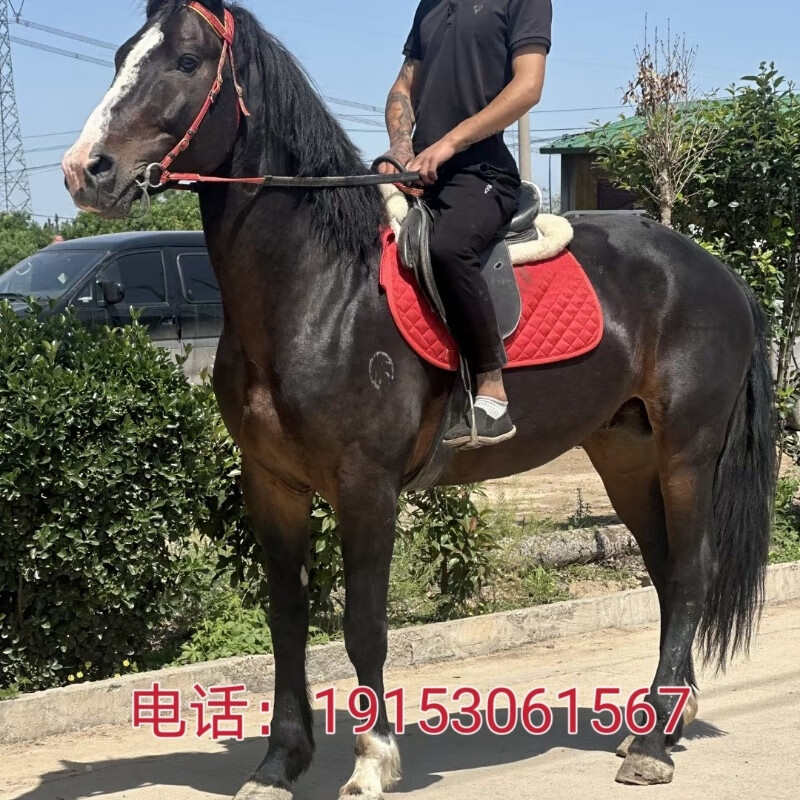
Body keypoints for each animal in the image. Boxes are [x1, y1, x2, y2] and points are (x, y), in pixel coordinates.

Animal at [62, 1, 776, 797]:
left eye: (185, 63)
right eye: (122, 54)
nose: (85, 170)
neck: (322, 292)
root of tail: (717, 271)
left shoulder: (366, 486)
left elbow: (363, 626)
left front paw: (371, 761)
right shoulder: (271, 485)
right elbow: (288, 618)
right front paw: (278, 763)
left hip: (687, 451)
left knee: (692, 573)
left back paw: (651, 746)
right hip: (624, 453)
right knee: (665, 572)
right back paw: (663, 722)